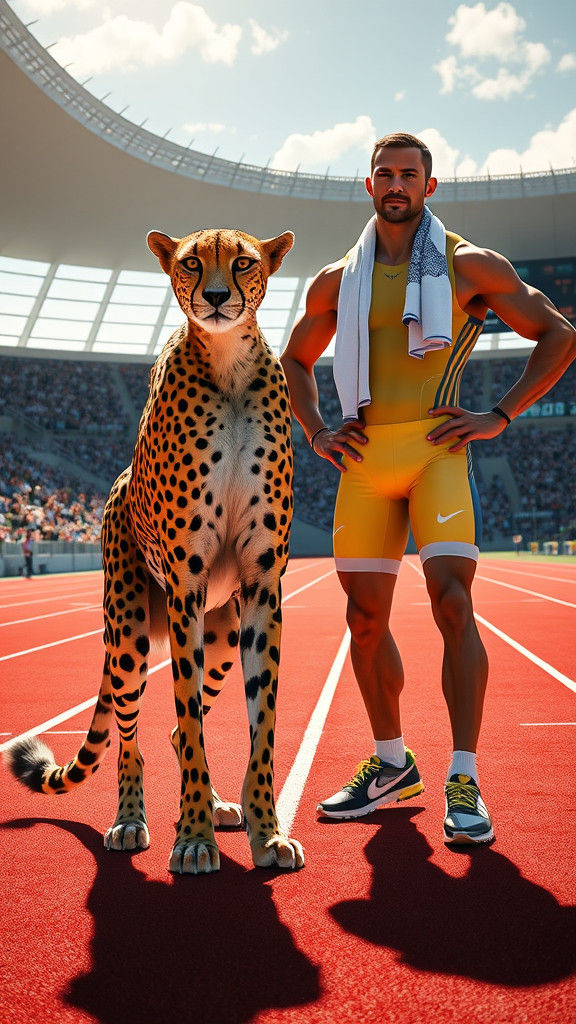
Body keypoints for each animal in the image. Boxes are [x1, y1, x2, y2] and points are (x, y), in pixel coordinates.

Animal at [5, 227, 304, 875]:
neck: (229, 365)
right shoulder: (185, 583)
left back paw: (220, 804)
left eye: (243, 263)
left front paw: (266, 831)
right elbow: (187, 720)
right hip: (131, 632)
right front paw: (192, 837)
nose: (215, 297)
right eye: (192, 263)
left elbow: (260, 724)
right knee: (132, 737)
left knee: (171, 730)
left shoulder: (262, 585)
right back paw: (130, 820)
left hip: (222, 631)